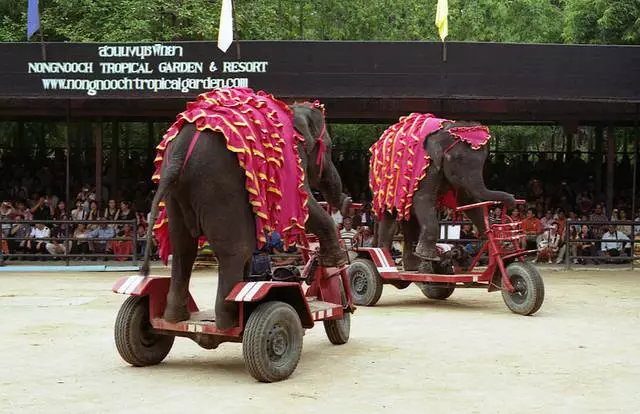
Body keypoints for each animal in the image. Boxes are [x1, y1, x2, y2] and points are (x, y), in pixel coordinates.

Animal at [370, 112, 516, 272]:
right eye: (457, 158)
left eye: (484, 160)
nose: (512, 200)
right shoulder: (427, 166)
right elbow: (424, 198)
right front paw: (428, 261)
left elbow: (468, 200)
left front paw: (501, 245)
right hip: (385, 185)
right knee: (389, 218)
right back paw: (385, 260)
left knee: (410, 224)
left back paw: (412, 267)